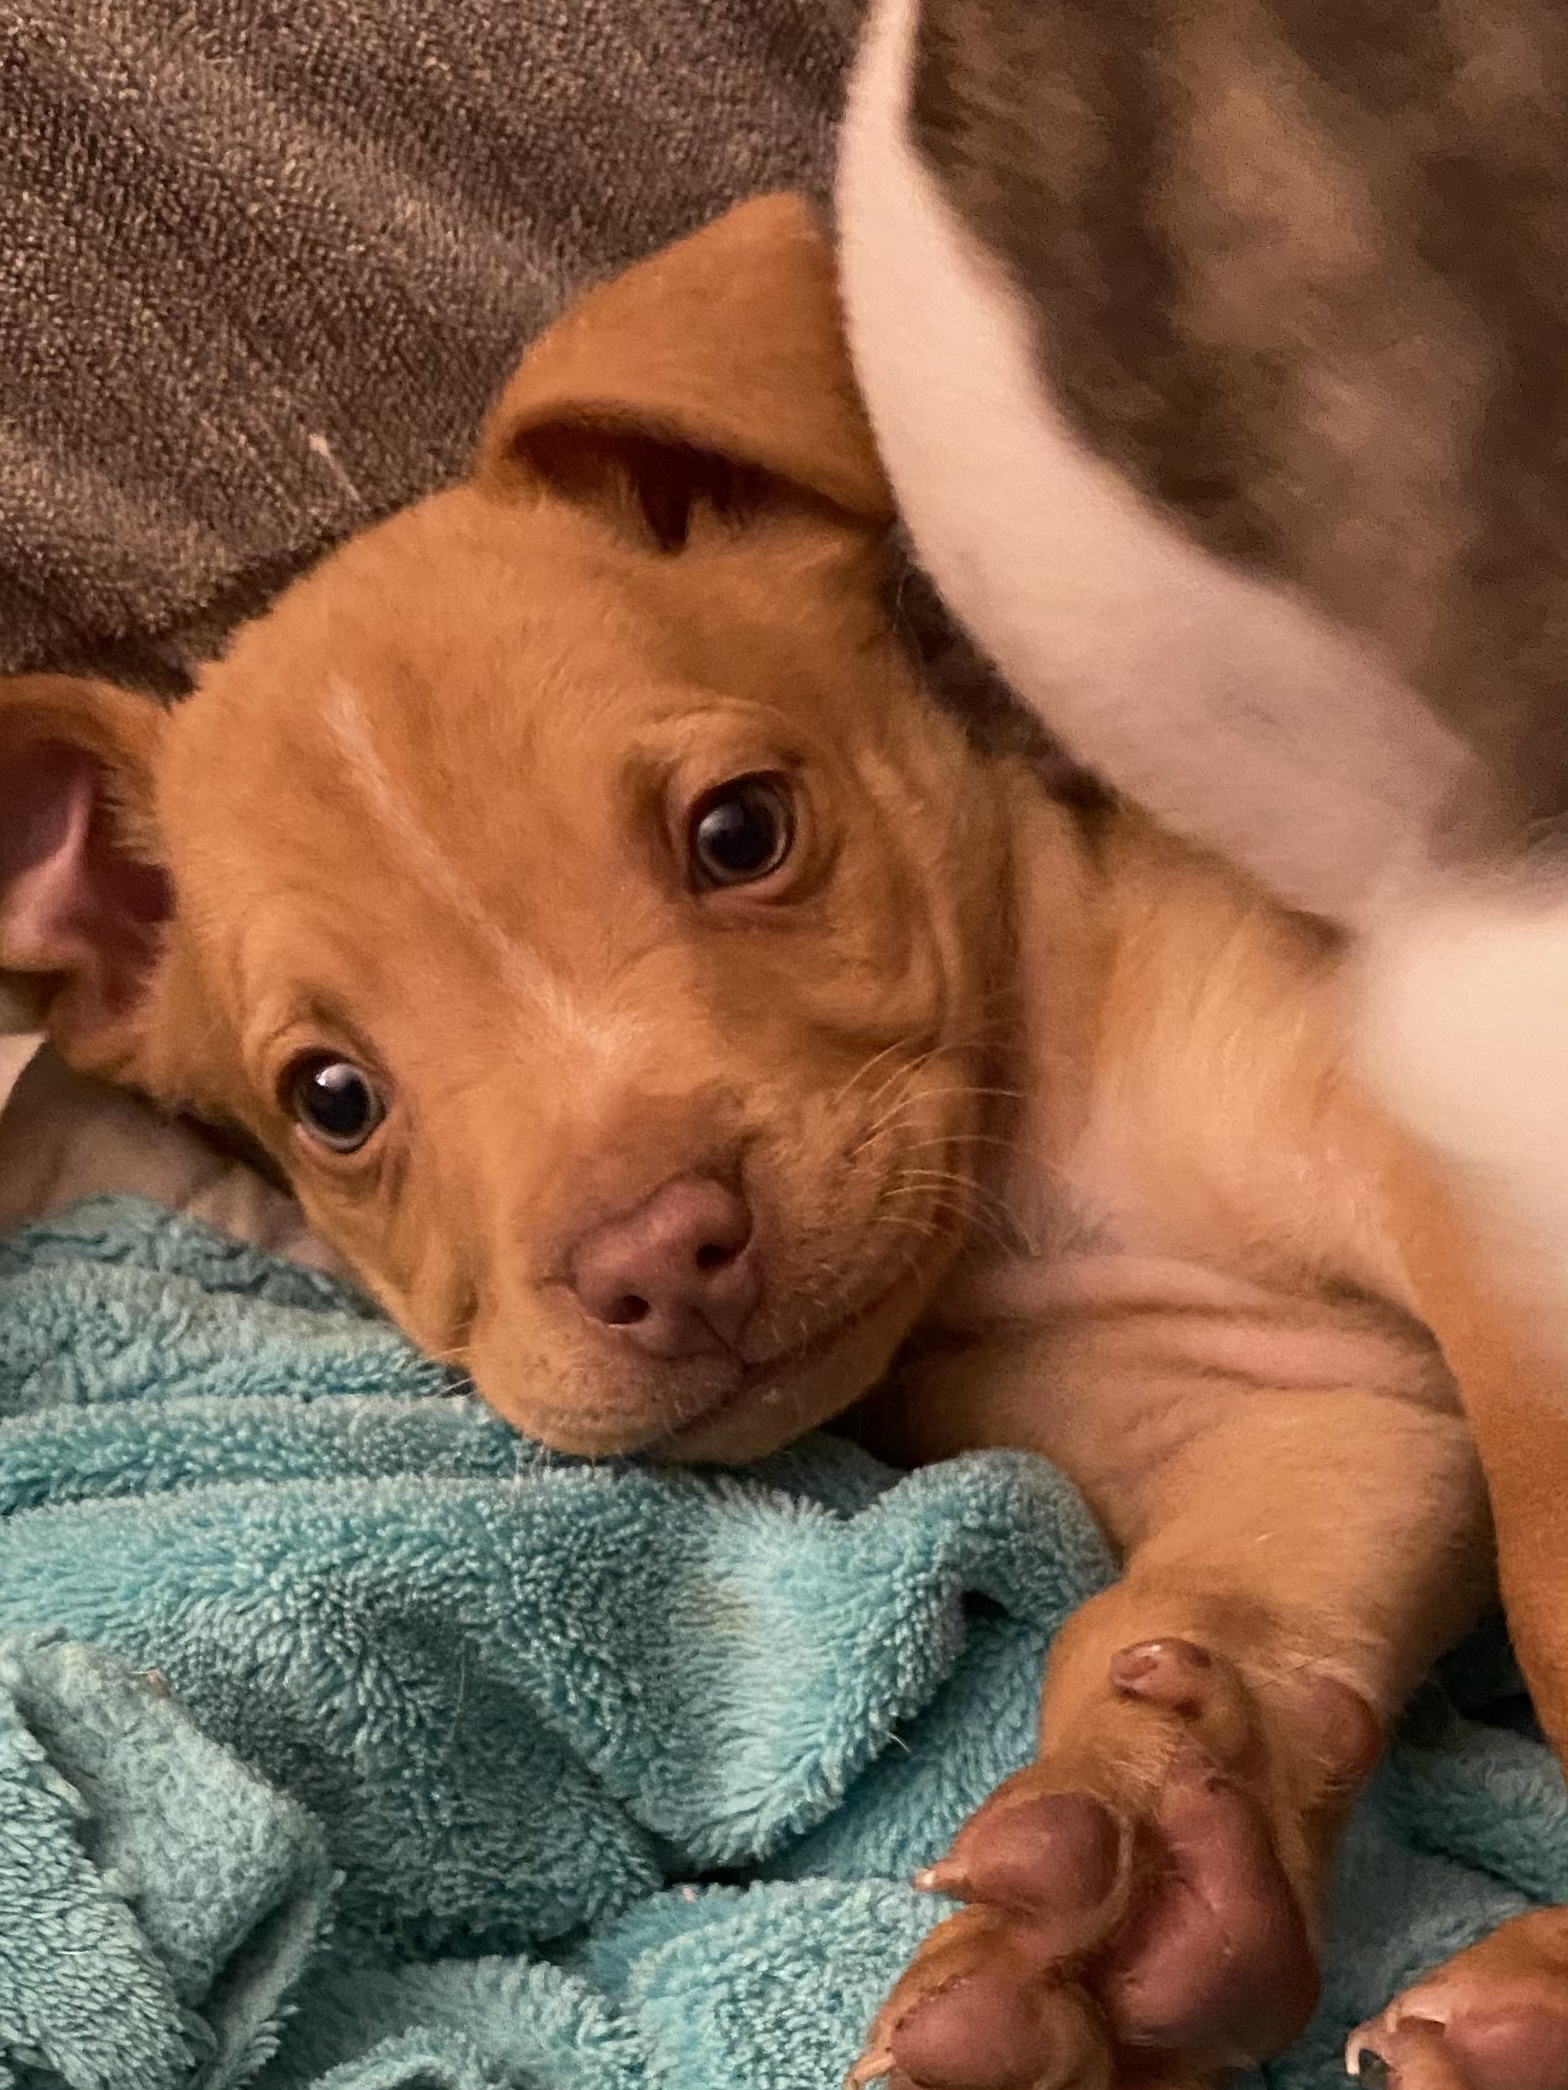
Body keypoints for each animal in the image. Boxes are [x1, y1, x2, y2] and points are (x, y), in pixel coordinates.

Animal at [0, 197, 1542, 2089]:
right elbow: (1185, 1619)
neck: (1036, 1176)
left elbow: (1557, 1577)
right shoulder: (1319, 1408)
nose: (657, 1253)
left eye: (740, 832)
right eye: (332, 1097)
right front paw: (1149, 1874)